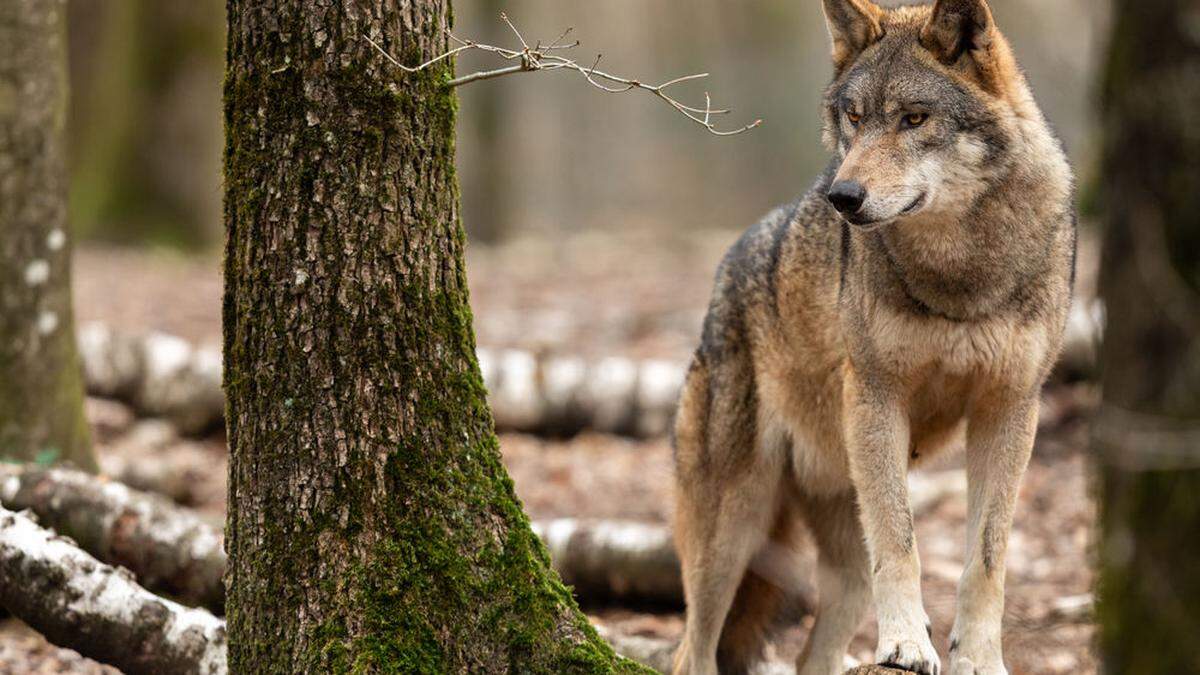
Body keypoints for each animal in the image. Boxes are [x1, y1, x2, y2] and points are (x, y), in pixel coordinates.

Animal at [672, 1, 1075, 672]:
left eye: (914, 118)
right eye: (854, 118)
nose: (842, 195)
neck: (960, 274)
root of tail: (726, 268)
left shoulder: (1010, 409)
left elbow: (986, 560)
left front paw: (978, 657)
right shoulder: (877, 397)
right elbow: (902, 543)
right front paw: (909, 643)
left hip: (840, 561)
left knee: (815, 655)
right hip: (733, 531)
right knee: (691, 650)